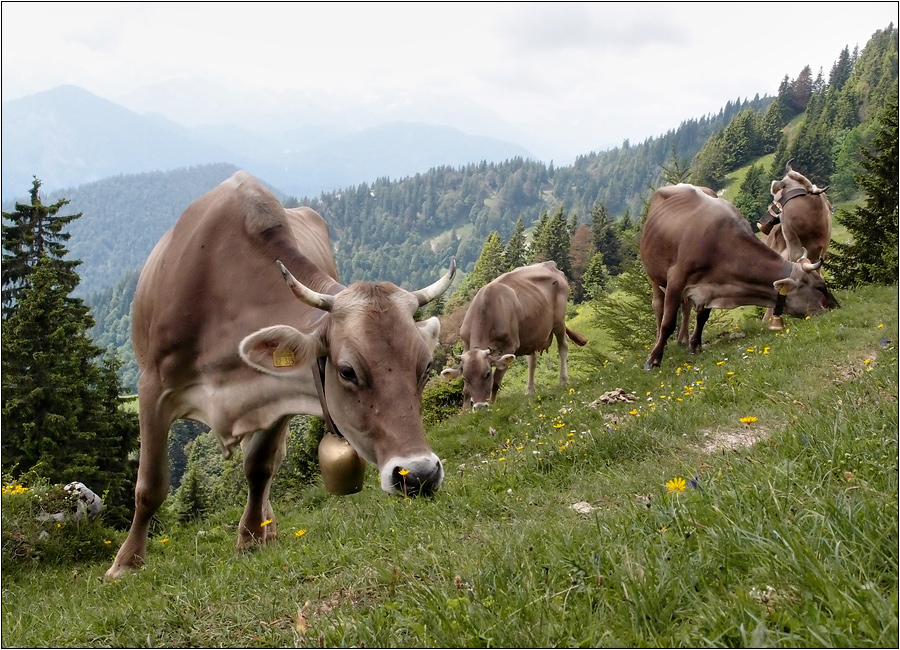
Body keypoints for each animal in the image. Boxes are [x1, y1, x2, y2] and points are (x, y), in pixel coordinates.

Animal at [105, 171, 454, 576]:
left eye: (424, 367)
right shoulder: (152, 387)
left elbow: (259, 468)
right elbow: (150, 485)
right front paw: (126, 563)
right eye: (348, 371)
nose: (420, 475)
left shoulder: (278, 395)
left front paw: (251, 537)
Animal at [440, 260, 588, 408]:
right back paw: (530, 390)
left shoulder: (509, 347)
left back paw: (563, 380)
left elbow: (496, 381)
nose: (480, 406)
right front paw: (465, 411)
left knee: (563, 346)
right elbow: (465, 390)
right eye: (466, 378)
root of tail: (549, 264)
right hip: (532, 334)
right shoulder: (466, 346)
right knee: (532, 360)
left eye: (487, 374)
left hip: (559, 321)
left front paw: (492, 404)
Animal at [640, 182, 836, 370]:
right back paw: (662, 342)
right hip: (655, 276)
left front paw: (695, 347)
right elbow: (668, 323)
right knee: (658, 308)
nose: (837, 307)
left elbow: (702, 317)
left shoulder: (712, 286)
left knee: (687, 305)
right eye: (820, 287)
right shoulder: (676, 279)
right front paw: (653, 360)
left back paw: (683, 340)